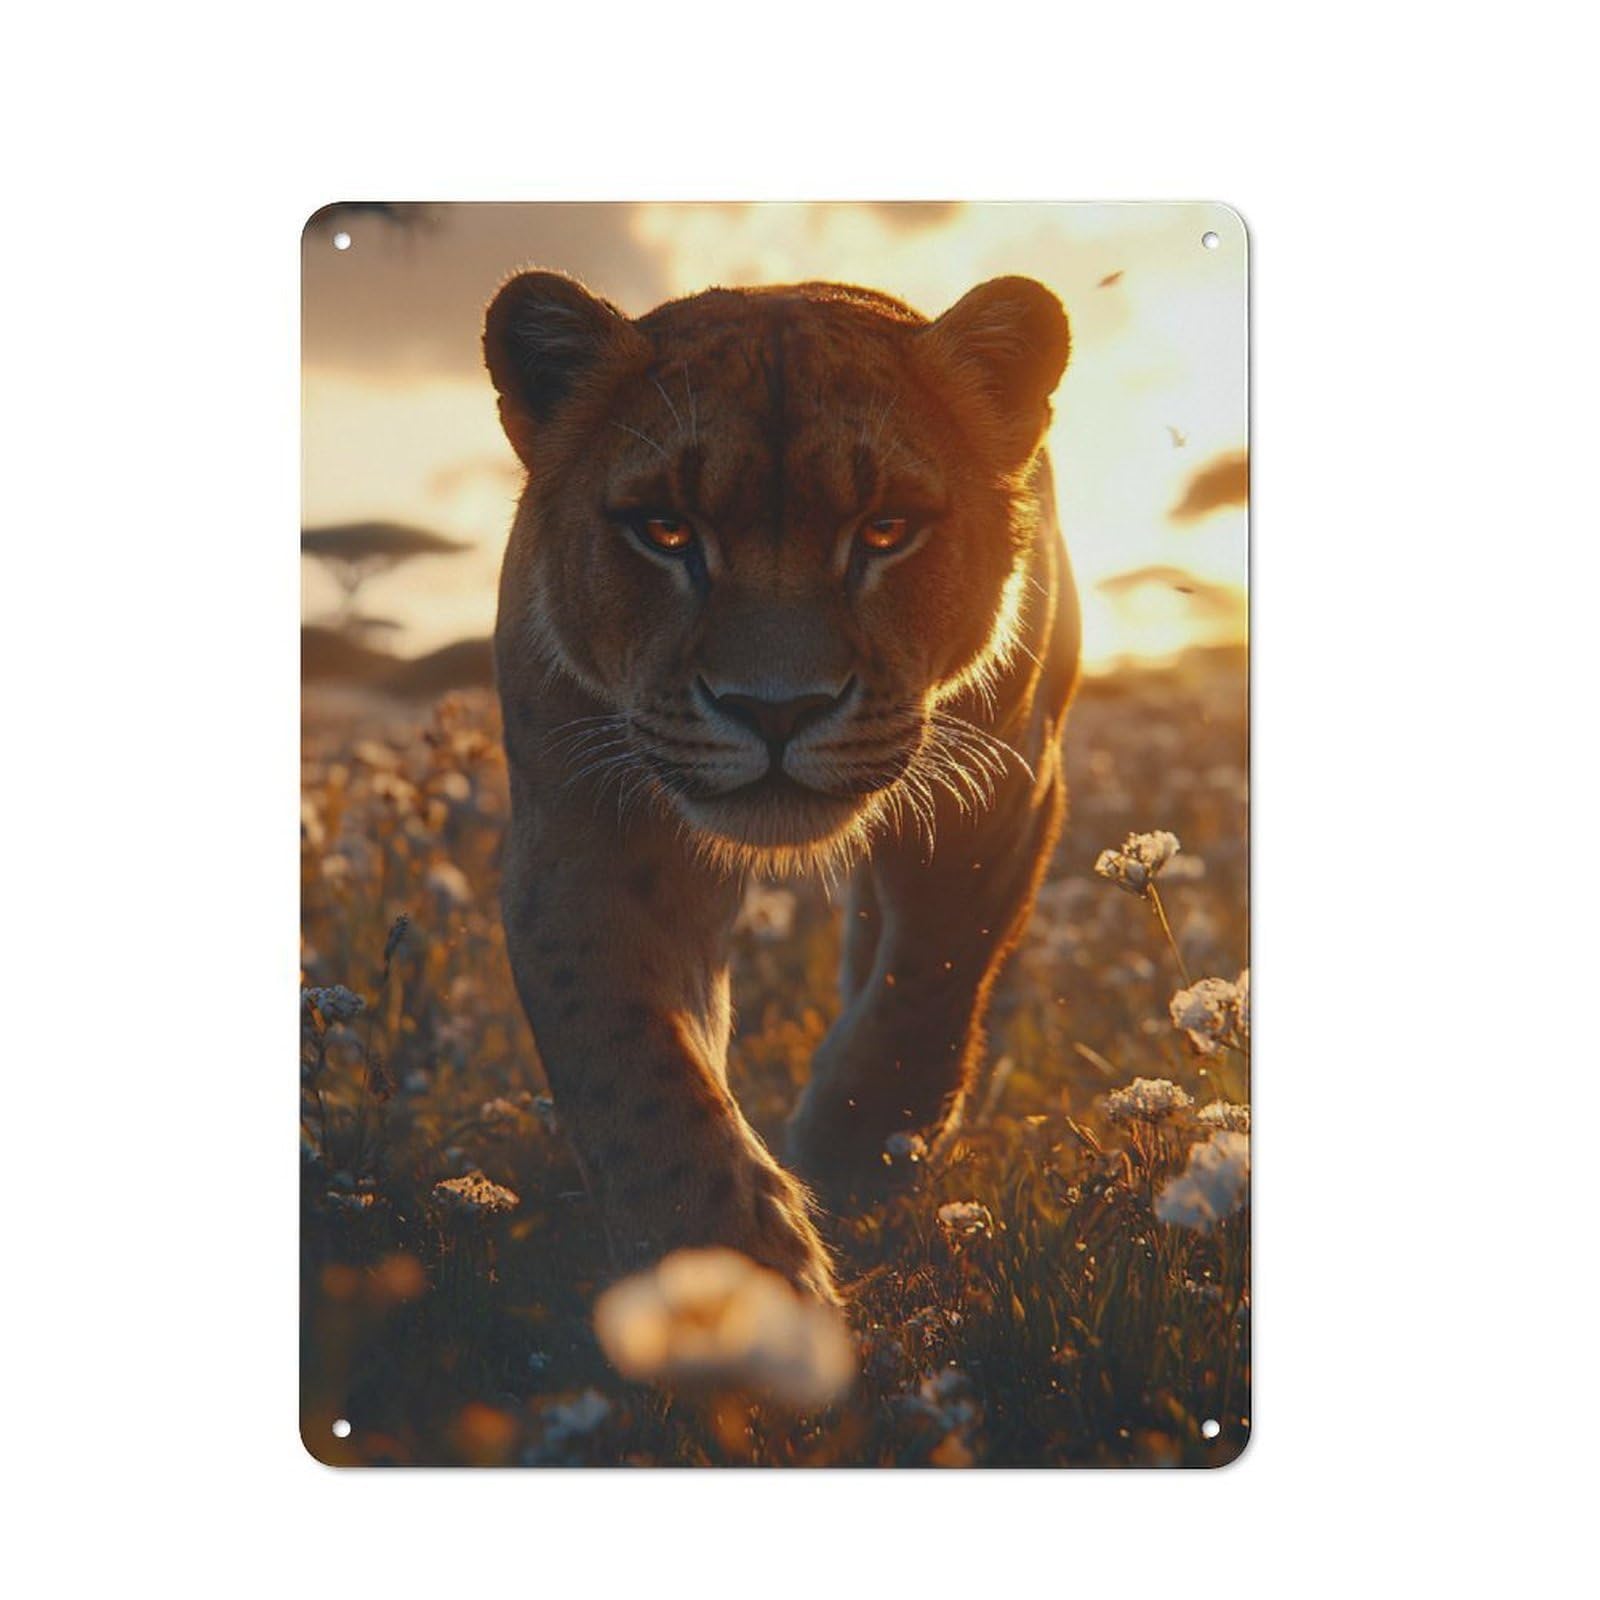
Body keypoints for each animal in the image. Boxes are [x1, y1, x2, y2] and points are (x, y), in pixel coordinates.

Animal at [484, 271, 1080, 1303]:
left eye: (885, 531)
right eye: (666, 531)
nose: (776, 709)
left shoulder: (1003, 781)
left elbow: (934, 972)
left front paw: (855, 1140)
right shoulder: (584, 833)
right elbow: (630, 1058)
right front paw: (730, 1278)